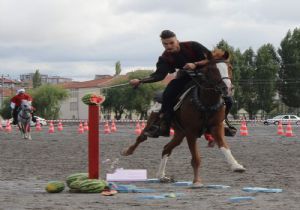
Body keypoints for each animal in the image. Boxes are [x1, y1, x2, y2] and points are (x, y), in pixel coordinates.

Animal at [121, 49, 244, 187]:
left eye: (230, 68)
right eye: (212, 69)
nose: (227, 88)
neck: (206, 102)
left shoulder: (216, 127)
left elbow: (224, 146)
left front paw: (236, 166)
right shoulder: (191, 132)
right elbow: (196, 158)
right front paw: (196, 181)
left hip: (180, 133)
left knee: (166, 149)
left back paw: (162, 176)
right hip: (153, 122)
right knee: (142, 137)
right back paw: (128, 151)